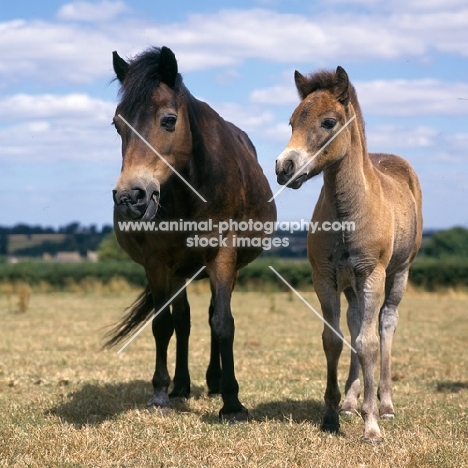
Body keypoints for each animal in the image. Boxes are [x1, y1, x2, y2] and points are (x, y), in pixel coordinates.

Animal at [276, 66, 422, 442]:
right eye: (292, 121)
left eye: (328, 122)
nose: (284, 167)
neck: (346, 214)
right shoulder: (325, 277)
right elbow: (335, 339)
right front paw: (331, 414)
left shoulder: (372, 273)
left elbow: (368, 343)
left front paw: (371, 425)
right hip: (352, 284)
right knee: (356, 321)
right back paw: (350, 401)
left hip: (399, 272)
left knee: (385, 324)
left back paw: (385, 404)